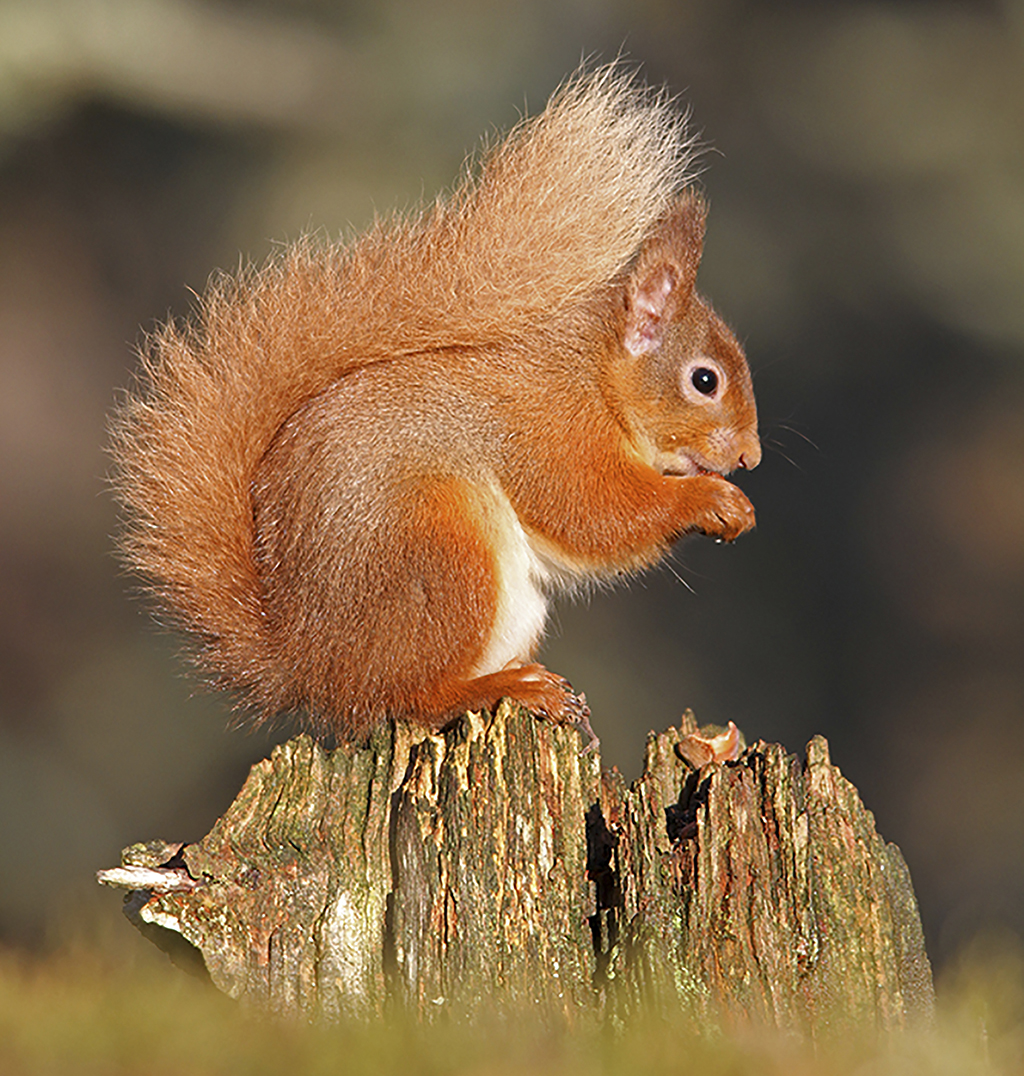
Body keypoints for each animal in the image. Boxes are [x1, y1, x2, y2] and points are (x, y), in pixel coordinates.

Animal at [110, 65, 761, 740]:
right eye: (705, 381)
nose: (751, 458)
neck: (594, 378)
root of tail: (310, 669)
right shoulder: (548, 426)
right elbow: (593, 511)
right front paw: (711, 500)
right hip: (441, 552)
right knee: (412, 696)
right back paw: (509, 687)